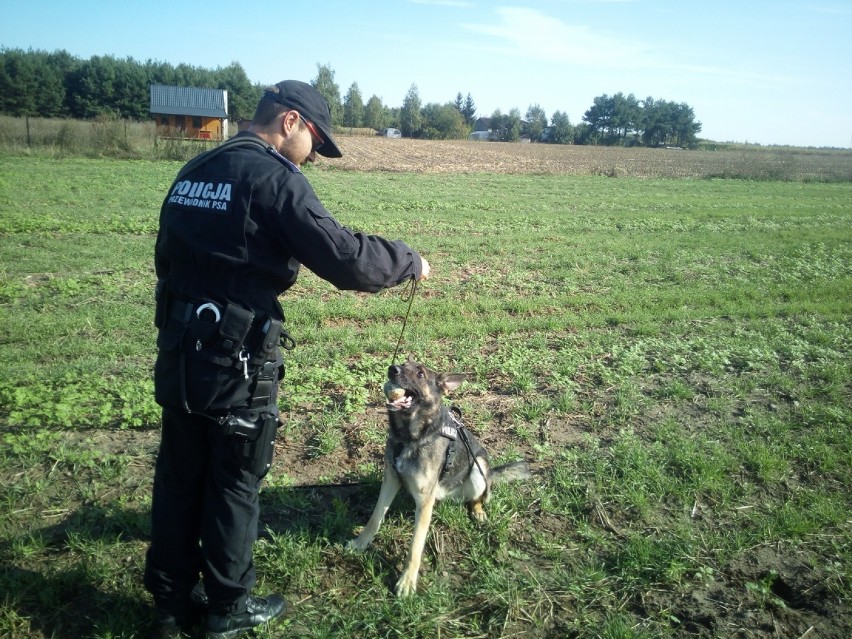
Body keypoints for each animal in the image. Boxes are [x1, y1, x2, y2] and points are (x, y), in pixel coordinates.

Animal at [344, 358, 528, 596]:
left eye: (421, 374)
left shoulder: (423, 499)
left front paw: (407, 581)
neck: (410, 437)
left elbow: (415, 545)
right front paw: (361, 543)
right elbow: (375, 517)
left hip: (478, 468)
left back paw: (478, 510)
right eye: (403, 363)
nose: (392, 369)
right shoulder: (391, 480)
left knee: (480, 496)